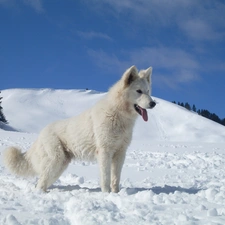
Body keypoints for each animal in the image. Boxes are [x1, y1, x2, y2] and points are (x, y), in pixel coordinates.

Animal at [3, 65, 155, 192]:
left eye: (148, 91)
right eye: (139, 91)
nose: (153, 103)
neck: (117, 114)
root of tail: (41, 133)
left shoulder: (120, 154)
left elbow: (115, 179)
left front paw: (116, 194)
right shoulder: (105, 152)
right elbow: (105, 178)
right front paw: (106, 194)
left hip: (60, 165)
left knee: (42, 182)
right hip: (55, 161)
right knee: (40, 184)